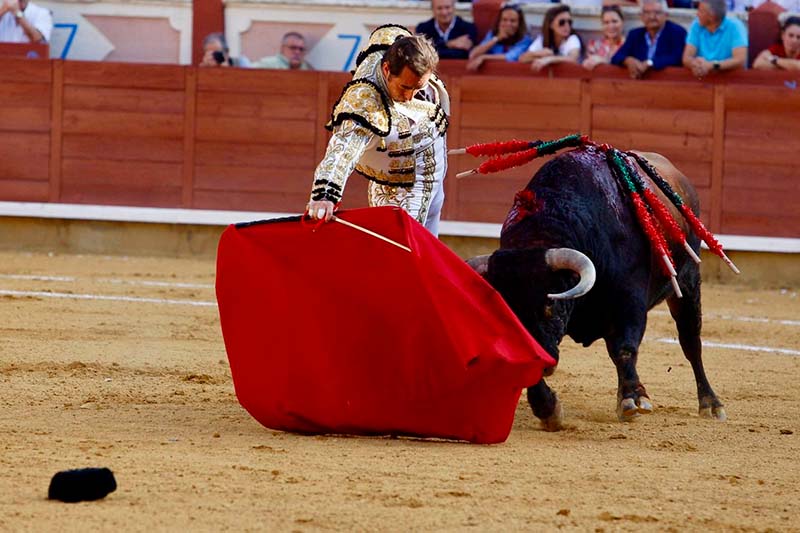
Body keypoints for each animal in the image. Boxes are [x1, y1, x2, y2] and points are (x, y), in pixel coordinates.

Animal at [467, 145, 726, 431]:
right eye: (506, 312)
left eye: (550, 304)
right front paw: (549, 410)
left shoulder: (629, 301)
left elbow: (625, 348)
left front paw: (633, 399)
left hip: (687, 282)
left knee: (691, 342)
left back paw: (710, 404)